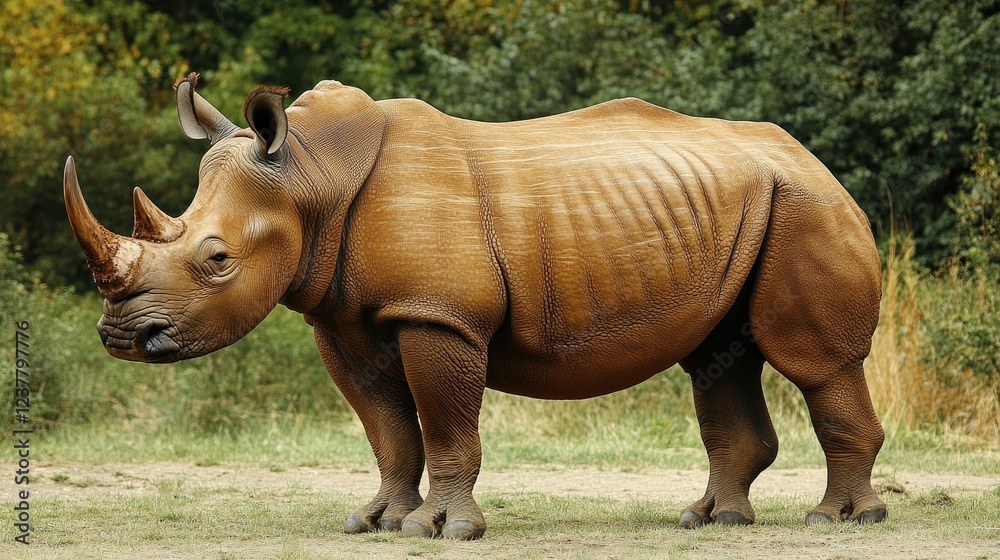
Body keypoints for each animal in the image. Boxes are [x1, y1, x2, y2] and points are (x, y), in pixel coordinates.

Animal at [64, 73, 887, 540]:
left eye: (217, 260)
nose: (121, 337)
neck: (310, 175)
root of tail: (816, 158)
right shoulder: (345, 320)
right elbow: (389, 432)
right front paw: (375, 523)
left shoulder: (437, 315)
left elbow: (446, 425)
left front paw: (445, 529)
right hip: (751, 208)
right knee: (719, 358)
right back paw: (710, 522)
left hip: (806, 206)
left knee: (814, 362)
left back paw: (837, 521)